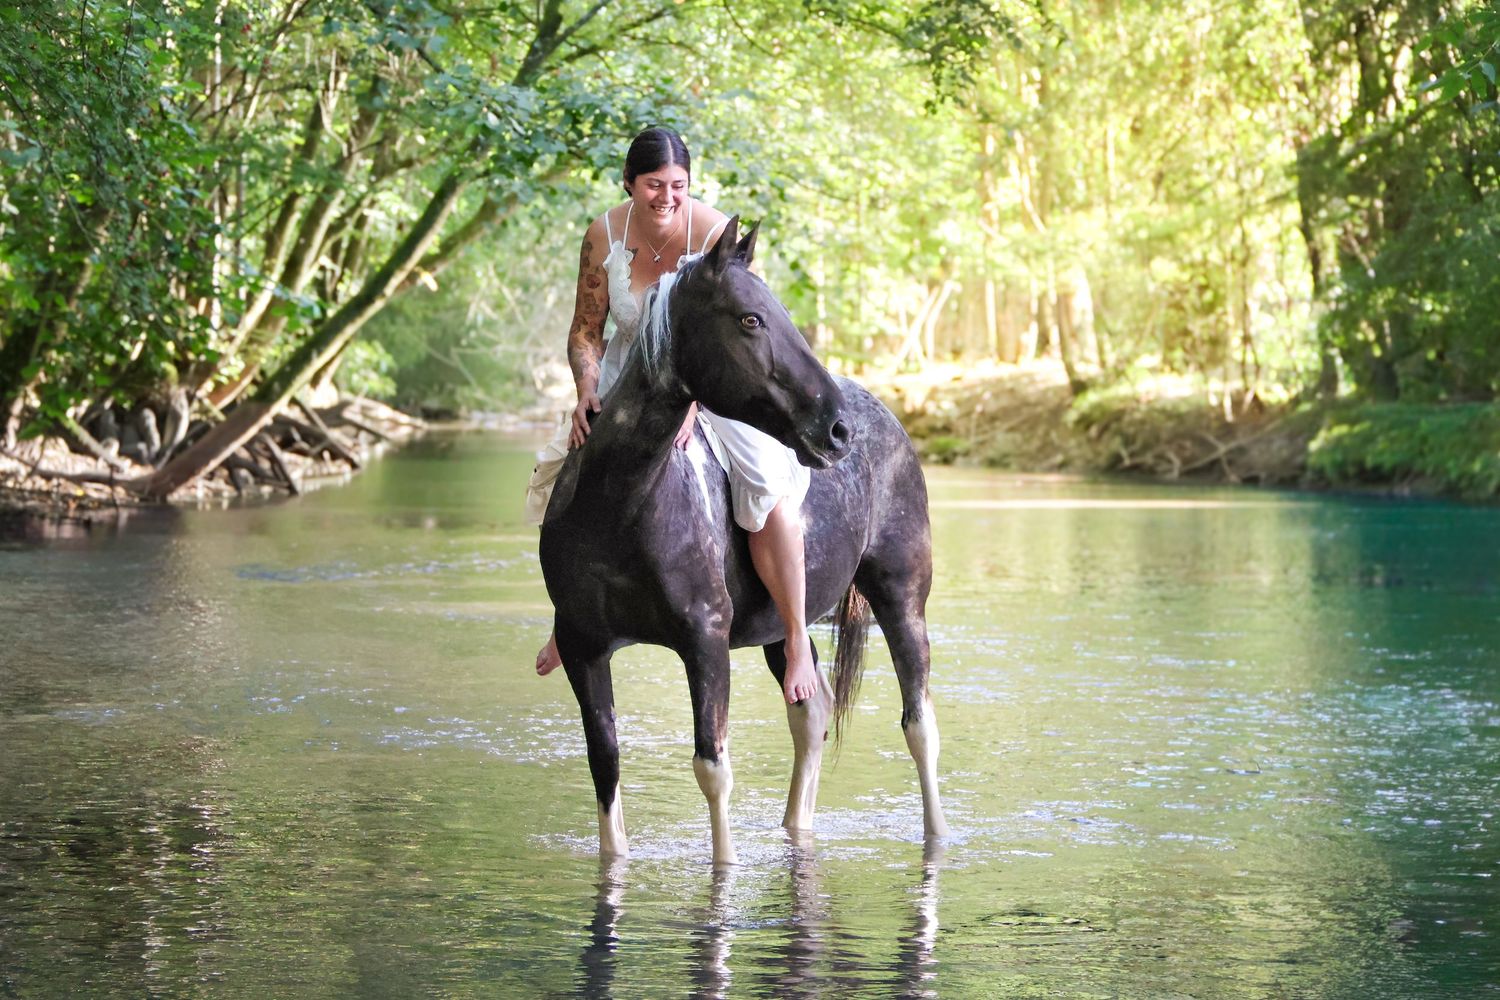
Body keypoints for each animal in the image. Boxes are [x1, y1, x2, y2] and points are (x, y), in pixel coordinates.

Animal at [539, 217, 948, 865]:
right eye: (750, 319)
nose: (837, 429)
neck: (616, 509)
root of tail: (884, 415)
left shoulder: (705, 641)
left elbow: (713, 768)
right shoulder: (583, 648)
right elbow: (605, 765)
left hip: (902, 598)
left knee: (919, 724)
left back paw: (937, 837)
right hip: (786, 628)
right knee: (811, 712)